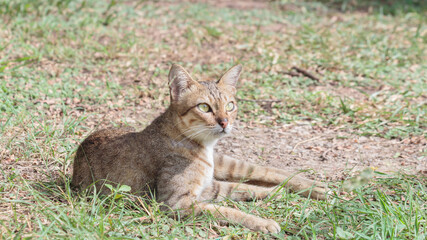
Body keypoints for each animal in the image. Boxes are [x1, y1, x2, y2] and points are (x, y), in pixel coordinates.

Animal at [72, 63, 330, 232]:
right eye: (204, 107)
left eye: (230, 105)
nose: (224, 122)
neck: (203, 146)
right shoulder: (179, 202)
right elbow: (229, 208)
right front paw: (264, 221)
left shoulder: (205, 187)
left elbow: (242, 188)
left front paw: (275, 195)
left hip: (228, 163)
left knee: (268, 170)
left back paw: (316, 187)